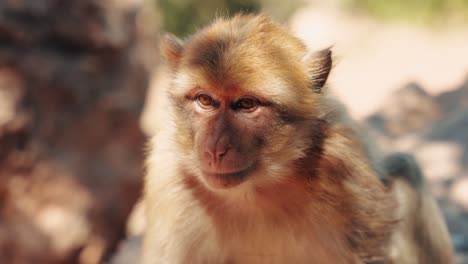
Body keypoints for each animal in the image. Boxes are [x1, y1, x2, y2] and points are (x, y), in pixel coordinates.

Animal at [142, 14, 454, 264]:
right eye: (205, 100)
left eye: (246, 104)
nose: (215, 148)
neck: (254, 191)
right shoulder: (169, 177)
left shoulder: (346, 172)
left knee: (406, 169)